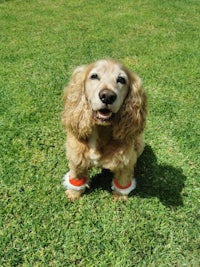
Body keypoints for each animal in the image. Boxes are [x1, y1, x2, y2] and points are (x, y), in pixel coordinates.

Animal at [62, 59, 147, 201]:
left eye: (121, 79)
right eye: (94, 76)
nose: (107, 96)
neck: (101, 130)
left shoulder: (125, 162)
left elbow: (123, 180)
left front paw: (119, 197)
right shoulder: (76, 157)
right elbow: (76, 177)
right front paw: (73, 193)